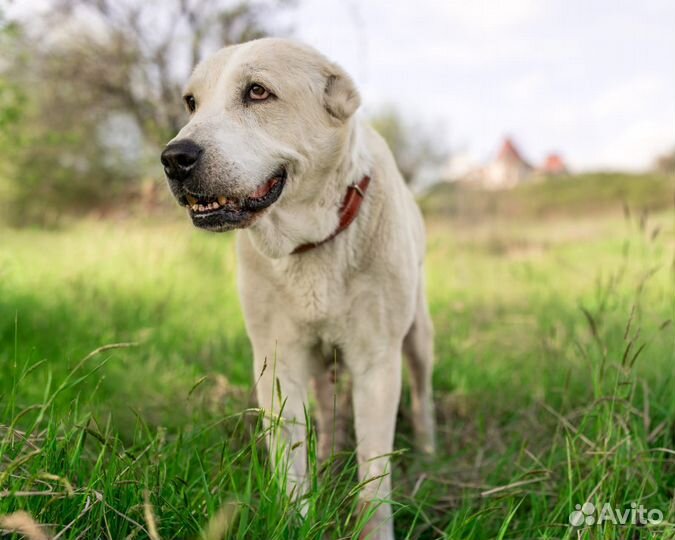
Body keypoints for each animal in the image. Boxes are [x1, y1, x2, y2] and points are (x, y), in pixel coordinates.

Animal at [162, 38, 438, 540]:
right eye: (191, 103)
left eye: (257, 91)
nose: (174, 158)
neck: (312, 242)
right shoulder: (277, 362)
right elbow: (290, 464)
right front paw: (298, 519)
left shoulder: (376, 363)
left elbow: (374, 475)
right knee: (326, 414)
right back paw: (328, 459)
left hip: (419, 336)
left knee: (423, 392)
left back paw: (430, 450)